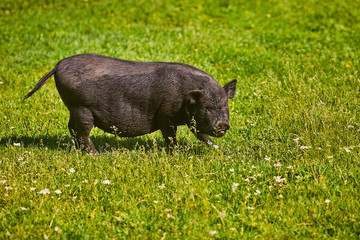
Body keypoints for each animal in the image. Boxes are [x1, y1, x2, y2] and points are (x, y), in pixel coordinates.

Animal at [24, 54, 236, 152]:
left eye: (225, 106)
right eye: (207, 107)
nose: (223, 124)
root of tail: (57, 65)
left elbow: (201, 134)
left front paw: (217, 149)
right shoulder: (165, 116)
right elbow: (170, 136)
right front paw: (175, 153)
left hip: (73, 109)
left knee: (72, 128)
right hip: (81, 108)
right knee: (82, 131)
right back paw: (95, 155)